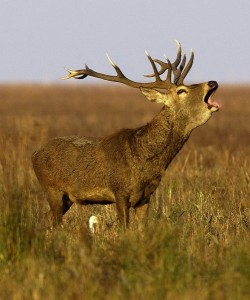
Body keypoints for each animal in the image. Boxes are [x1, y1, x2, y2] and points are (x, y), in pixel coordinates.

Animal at [31, 41, 221, 227]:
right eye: (181, 91)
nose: (212, 82)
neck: (144, 160)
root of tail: (34, 154)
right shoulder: (119, 191)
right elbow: (124, 228)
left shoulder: (146, 196)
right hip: (52, 189)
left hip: (66, 198)